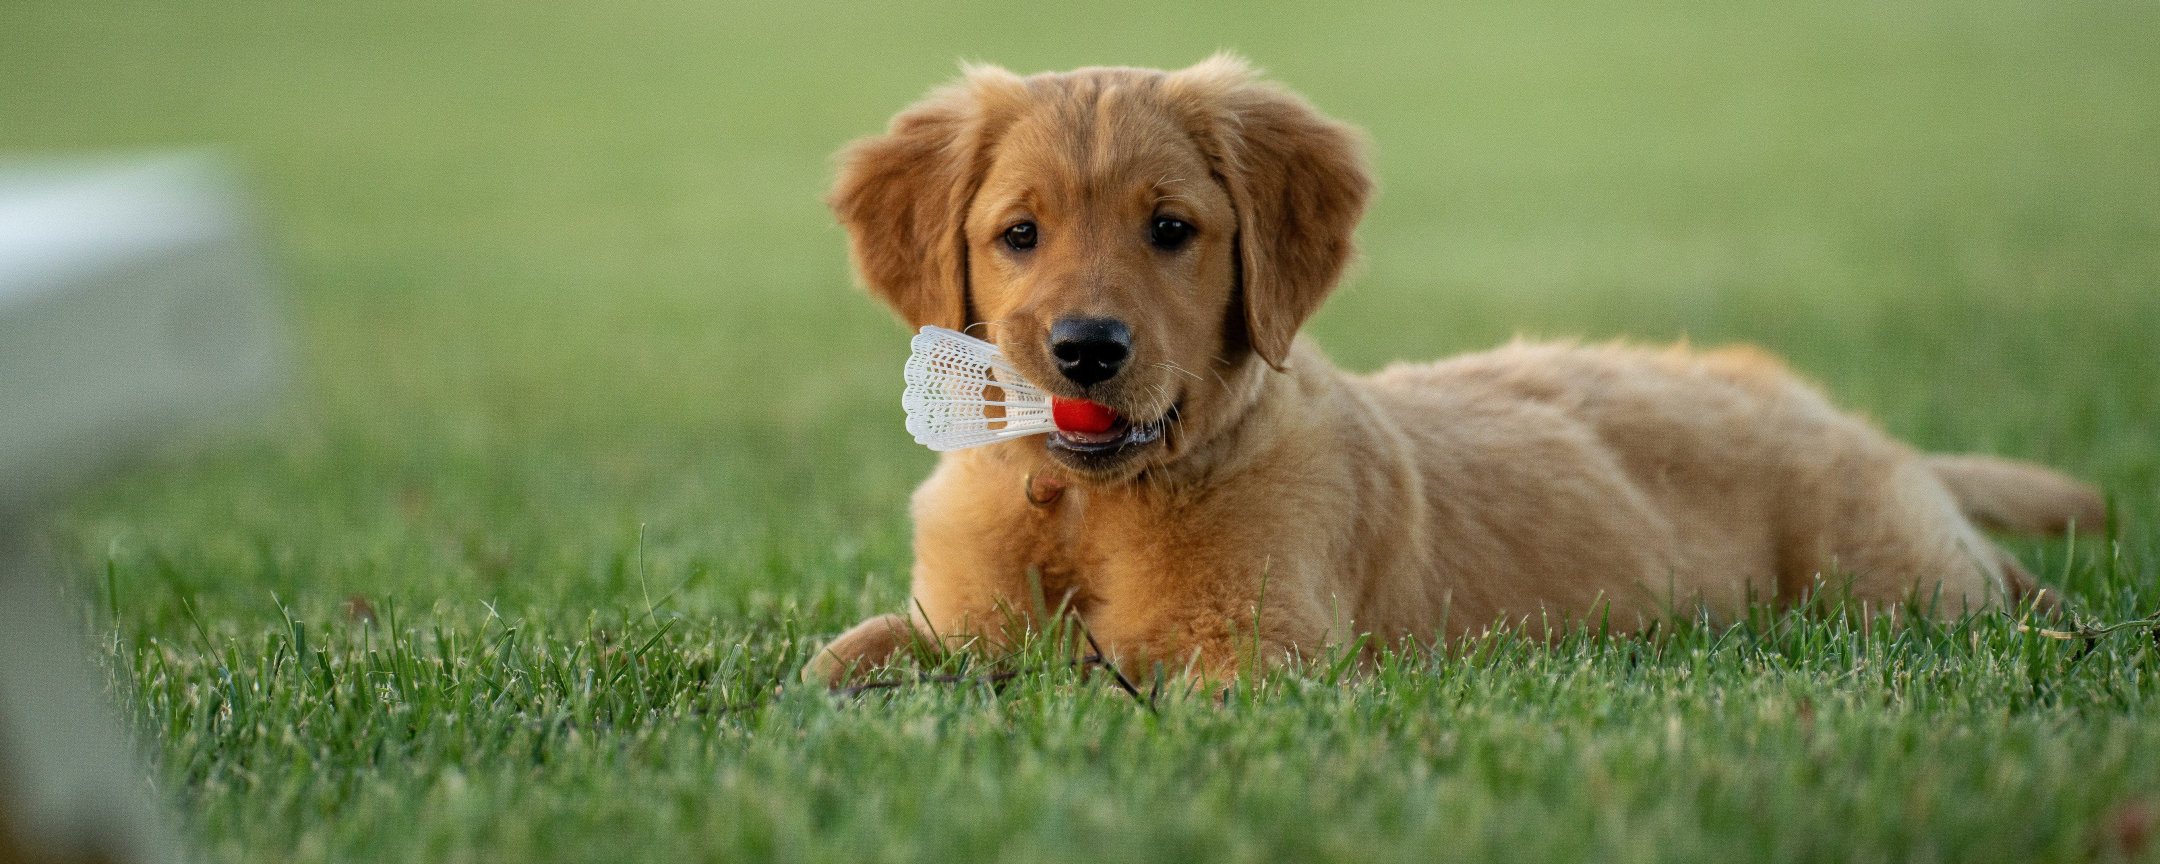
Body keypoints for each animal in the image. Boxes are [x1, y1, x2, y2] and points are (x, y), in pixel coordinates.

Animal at [803, 55, 2099, 686]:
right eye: (1019, 234)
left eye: (1170, 230)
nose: (1086, 348)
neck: (1085, 505)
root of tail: (1852, 420)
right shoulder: (956, 618)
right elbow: (846, 659)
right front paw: (845, 682)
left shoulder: (1257, 661)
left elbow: (1109, 690)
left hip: (1888, 579)